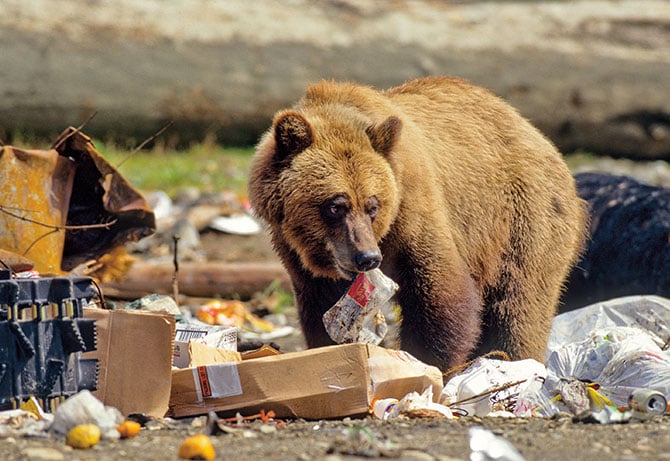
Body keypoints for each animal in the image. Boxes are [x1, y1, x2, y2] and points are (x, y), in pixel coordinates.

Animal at [248, 75, 588, 370]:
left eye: (372, 205)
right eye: (335, 206)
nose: (367, 257)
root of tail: (537, 135)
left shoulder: (414, 208)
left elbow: (441, 293)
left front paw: (426, 362)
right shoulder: (296, 252)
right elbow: (320, 308)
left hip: (523, 216)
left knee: (518, 304)